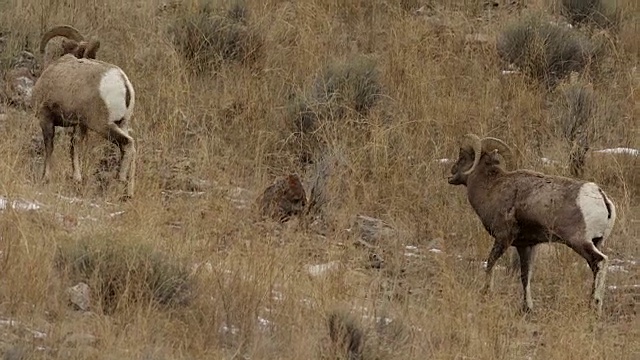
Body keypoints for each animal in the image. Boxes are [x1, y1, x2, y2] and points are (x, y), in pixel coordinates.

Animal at [31, 25, 136, 198]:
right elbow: (74, 148)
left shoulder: (46, 118)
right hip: (123, 124)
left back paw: (120, 181)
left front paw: (46, 178)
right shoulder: (80, 125)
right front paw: (77, 179)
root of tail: (123, 82)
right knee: (131, 148)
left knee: (128, 144)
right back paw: (129, 191)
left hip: (104, 126)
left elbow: (49, 146)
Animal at [448, 134, 616, 316]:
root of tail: (599, 195)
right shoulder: (526, 245)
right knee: (595, 267)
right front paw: (527, 308)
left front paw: (486, 292)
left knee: (600, 262)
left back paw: (595, 306)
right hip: (597, 242)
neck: (491, 188)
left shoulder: (503, 238)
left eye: (463, 157)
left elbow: (491, 263)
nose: (451, 172)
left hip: (580, 242)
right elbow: (525, 276)